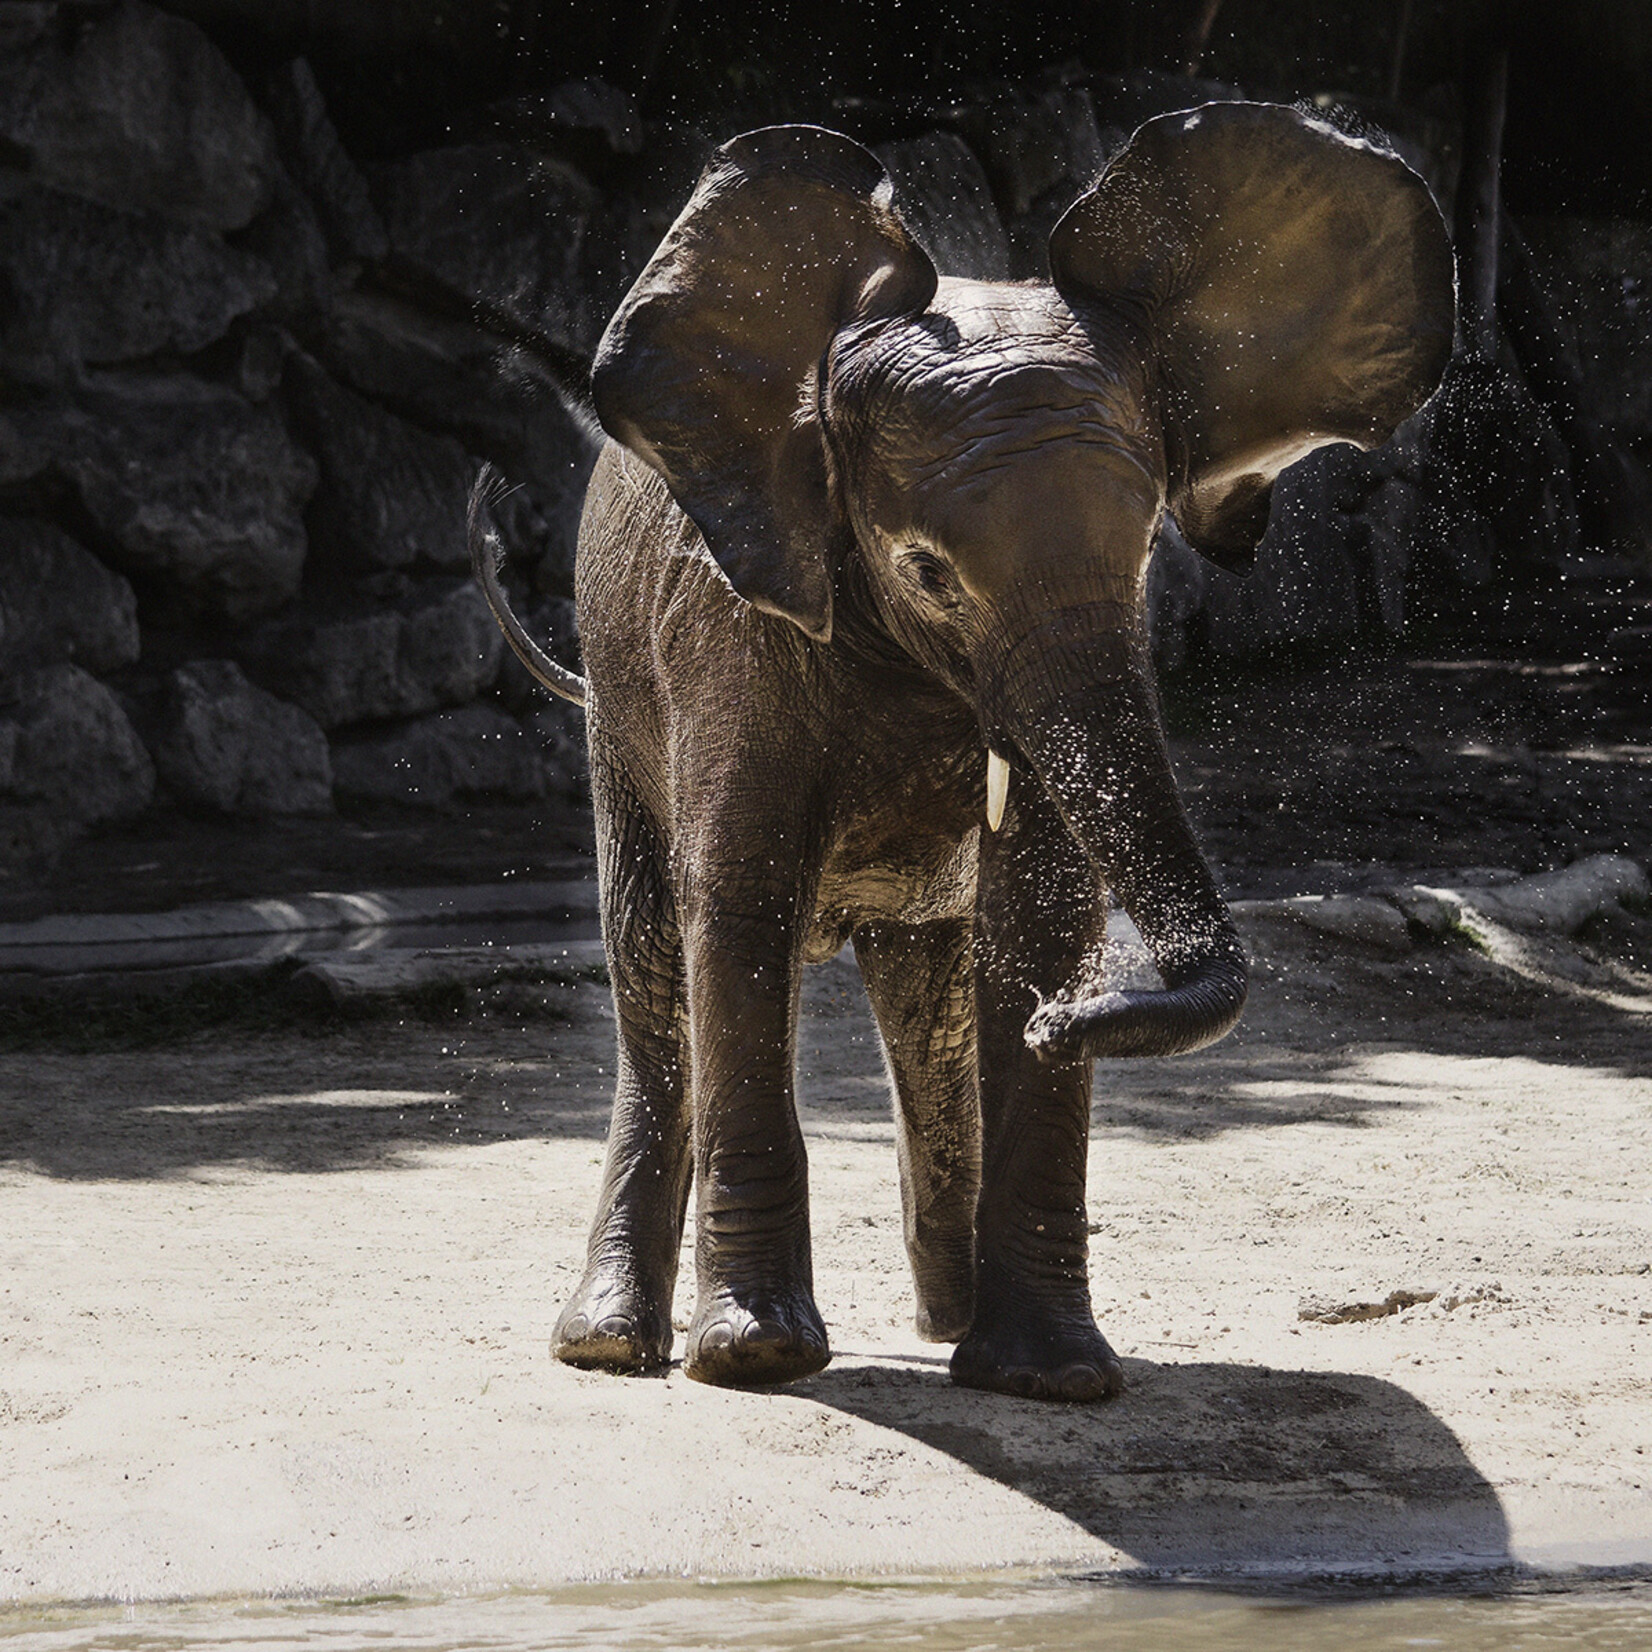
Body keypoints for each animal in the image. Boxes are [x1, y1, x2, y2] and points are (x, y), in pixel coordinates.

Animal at [472, 103, 1453, 1400]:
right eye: (927, 571)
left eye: (1147, 551)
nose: (1069, 1018)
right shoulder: (728, 629)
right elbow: (737, 898)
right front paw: (757, 1358)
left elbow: (1033, 912)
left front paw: (1047, 1376)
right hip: (617, 700)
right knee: (649, 958)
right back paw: (609, 1345)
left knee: (924, 995)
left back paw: (942, 1323)